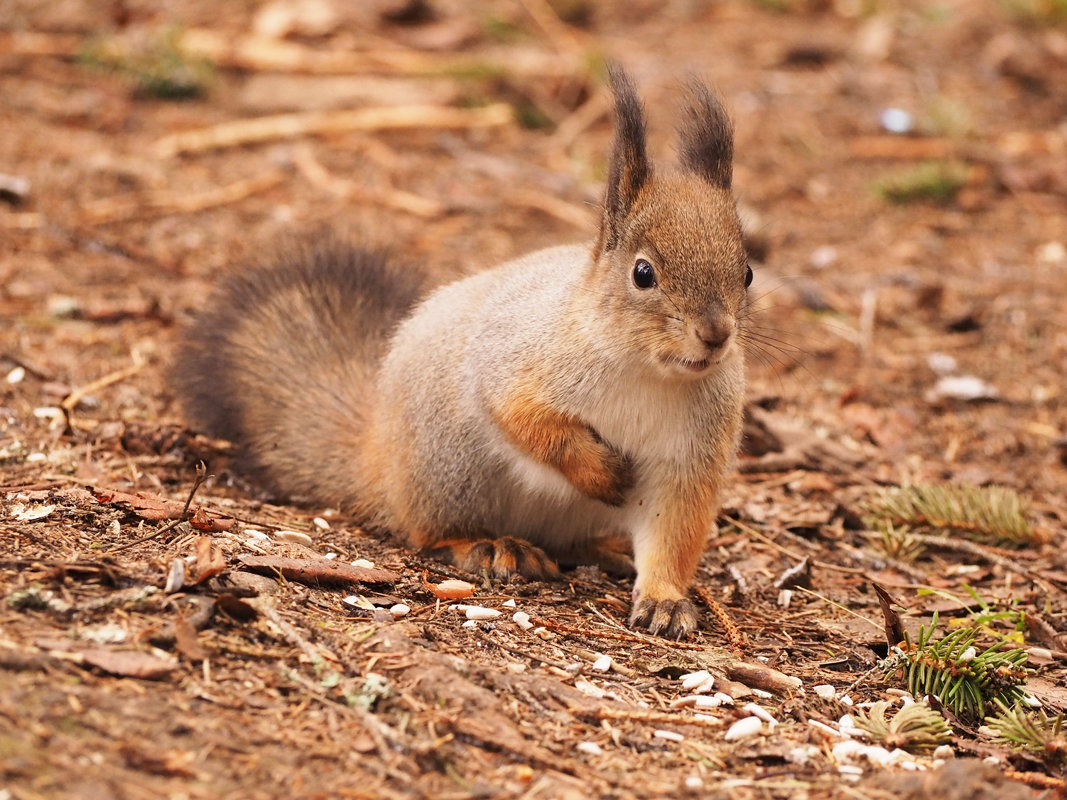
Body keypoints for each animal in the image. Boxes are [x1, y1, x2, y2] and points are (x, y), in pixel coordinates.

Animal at [174, 67, 751, 640]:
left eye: (746, 272)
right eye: (643, 273)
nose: (715, 334)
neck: (649, 373)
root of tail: (381, 458)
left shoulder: (692, 456)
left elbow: (673, 534)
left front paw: (665, 600)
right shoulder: (514, 361)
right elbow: (527, 420)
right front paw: (600, 470)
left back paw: (601, 549)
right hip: (452, 466)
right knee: (428, 531)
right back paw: (491, 545)